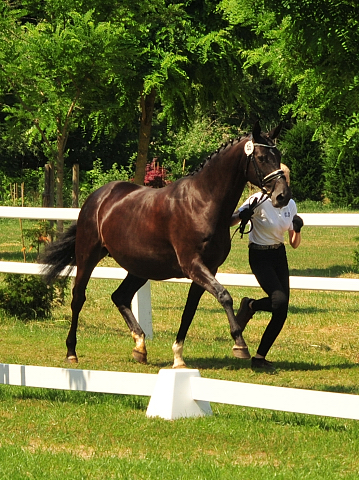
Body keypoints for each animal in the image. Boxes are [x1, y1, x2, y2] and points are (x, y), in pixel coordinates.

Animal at [42, 123, 292, 368]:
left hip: (141, 267)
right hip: (88, 256)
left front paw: (178, 356)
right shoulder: (193, 265)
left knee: (120, 297)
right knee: (78, 297)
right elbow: (224, 295)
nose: (282, 196)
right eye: (261, 157)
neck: (202, 203)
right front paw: (239, 343)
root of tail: (97, 198)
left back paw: (140, 347)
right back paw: (71, 352)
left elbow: (189, 311)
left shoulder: (207, 269)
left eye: (278, 155)